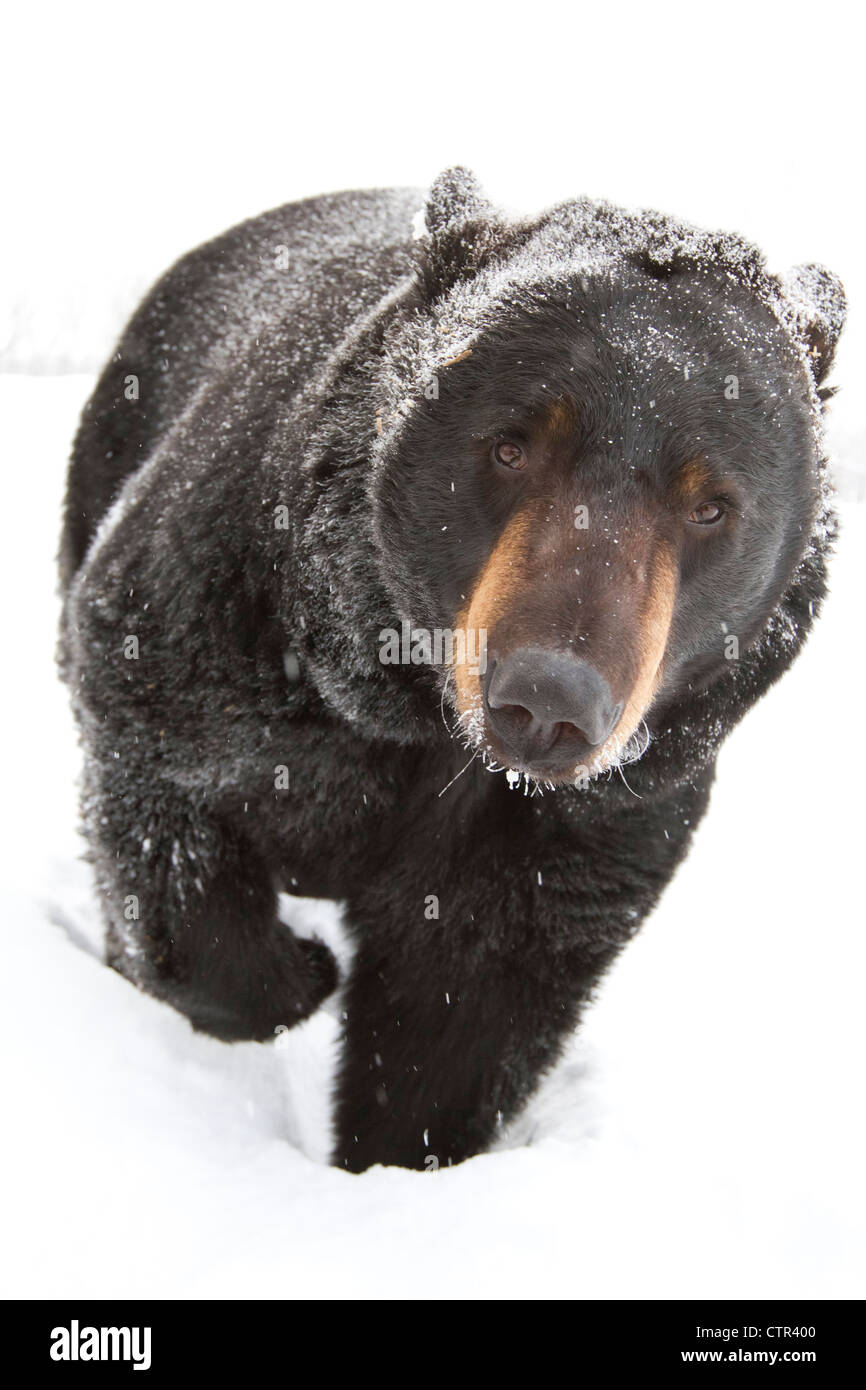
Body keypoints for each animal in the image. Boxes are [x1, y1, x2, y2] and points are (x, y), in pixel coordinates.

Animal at [59, 170, 845, 1173]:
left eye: (711, 505)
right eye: (509, 445)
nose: (548, 701)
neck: (424, 714)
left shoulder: (598, 812)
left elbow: (465, 1008)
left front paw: (393, 1159)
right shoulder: (221, 622)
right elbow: (161, 781)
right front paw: (293, 973)